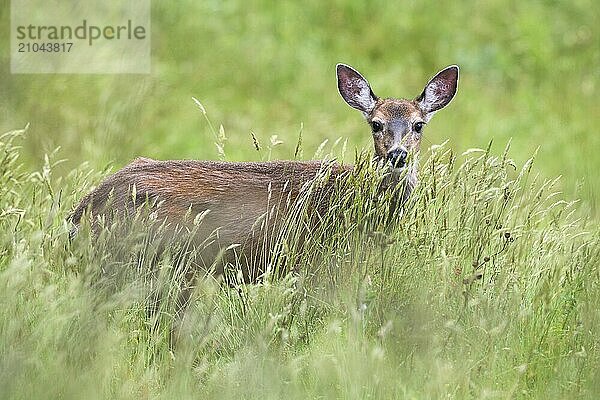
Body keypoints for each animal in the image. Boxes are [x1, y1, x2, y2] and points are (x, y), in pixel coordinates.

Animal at [68, 62, 458, 318]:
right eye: (376, 124)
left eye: (418, 125)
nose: (398, 154)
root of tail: (81, 211)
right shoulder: (321, 263)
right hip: (145, 263)